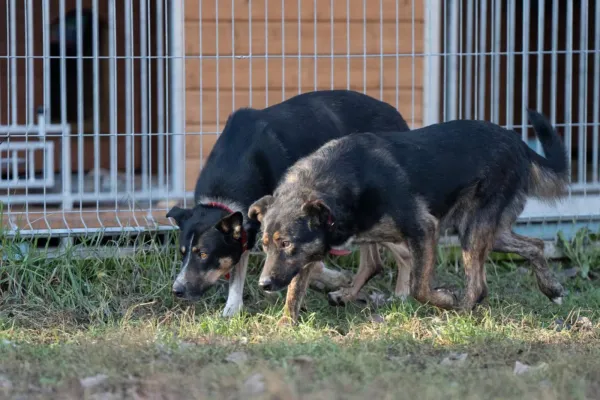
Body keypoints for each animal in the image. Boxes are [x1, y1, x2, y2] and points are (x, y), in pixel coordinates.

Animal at [251, 110, 568, 312]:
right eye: (265, 245)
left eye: (286, 243)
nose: (264, 285)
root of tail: (519, 143)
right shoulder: (313, 249)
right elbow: (294, 290)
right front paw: (285, 326)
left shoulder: (423, 229)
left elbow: (418, 287)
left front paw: (444, 299)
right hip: (485, 229)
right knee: (535, 245)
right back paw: (551, 289)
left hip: (472, 229)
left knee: (478, 285)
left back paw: (460, 310)